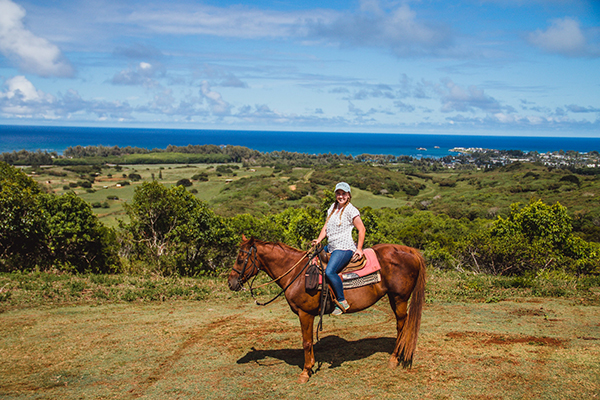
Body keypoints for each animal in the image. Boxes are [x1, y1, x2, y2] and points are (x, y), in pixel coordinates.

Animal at [226, 236, 426, 382]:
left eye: (241, 259)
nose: (231, 282)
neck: (297, 273)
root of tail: (410, 251)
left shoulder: (305, 314)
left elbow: (306, 342)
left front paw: (306, 372)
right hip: (393, 297)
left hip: (400, 298)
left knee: (401, 326)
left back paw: (394, 358)